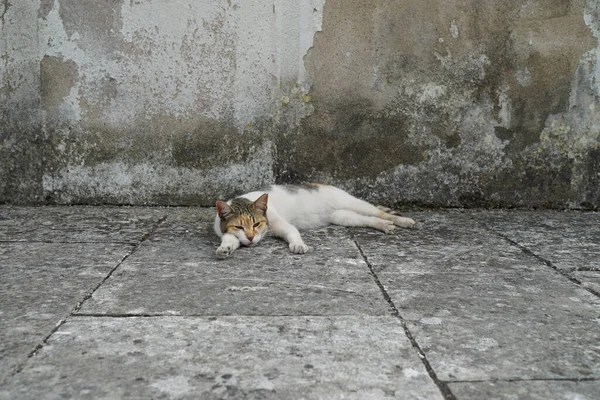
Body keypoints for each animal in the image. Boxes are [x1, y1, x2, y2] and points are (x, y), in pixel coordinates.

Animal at [213, 184, 414, 260]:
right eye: (239, 226)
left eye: (256, 224)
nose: (251, 238)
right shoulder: (227, 232)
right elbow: (230, 240)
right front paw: (224, 249)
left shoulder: (280, 222)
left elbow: (292, 231)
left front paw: (298, 245)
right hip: (342, 217)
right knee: (368, 219)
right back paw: (384, 226)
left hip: (350, 202)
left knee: (379, 212)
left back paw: (402, 221)